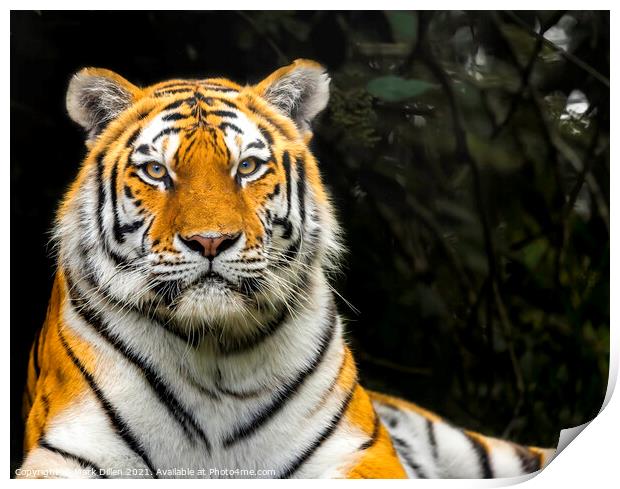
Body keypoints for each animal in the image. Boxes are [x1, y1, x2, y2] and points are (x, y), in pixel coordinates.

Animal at [17, 58, 556, 476]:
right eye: (156, 171)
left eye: (247, 167)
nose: (210, 241)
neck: (214, 352)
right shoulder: (69, 451)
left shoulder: (359, 451)